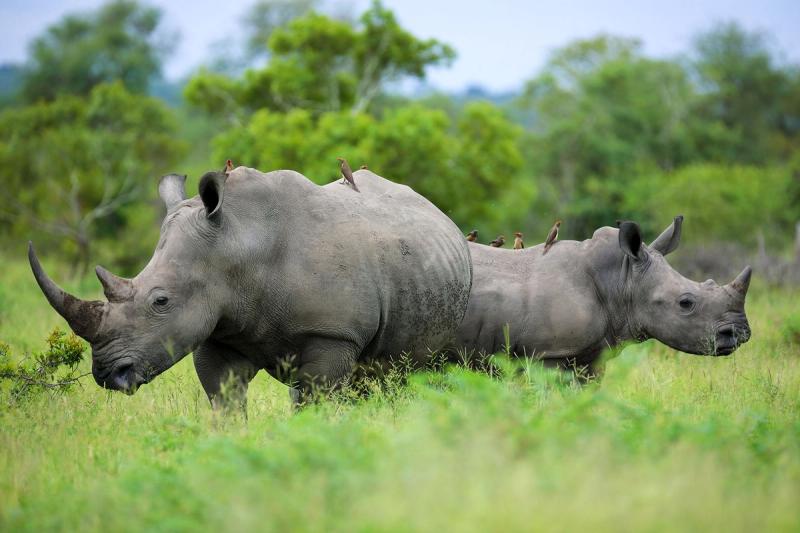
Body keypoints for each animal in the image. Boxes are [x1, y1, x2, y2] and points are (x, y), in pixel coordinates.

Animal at [29, 167, 472, 405]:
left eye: (161, 301)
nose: (108, 374)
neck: (239, 248)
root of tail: (438, 211)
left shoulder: (333, 334)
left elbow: (313, 399)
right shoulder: (217, 327)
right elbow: (224, 399)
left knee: (404, 372)